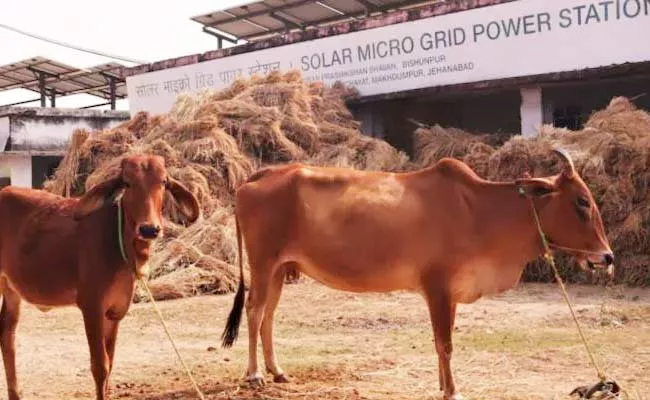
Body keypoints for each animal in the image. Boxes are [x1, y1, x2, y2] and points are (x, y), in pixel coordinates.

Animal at [0, 155, 200, 398]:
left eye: (163, 182)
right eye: (127, 183)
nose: (149, 229)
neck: (121, 246)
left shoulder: (115, 313)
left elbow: (110, 364)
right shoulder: (91, 306)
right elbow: (100, 366)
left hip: (11, 290)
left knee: (7, 335)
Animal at [220, 149, 612, 400]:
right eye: (581, 201)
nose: (606, 258)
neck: (478, 211)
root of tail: (262, 175)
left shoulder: (450, 294)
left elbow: (444, 342)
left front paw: (442, 385)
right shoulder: (437, 286)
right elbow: (445, 343)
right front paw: (452, 391)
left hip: (279, 269)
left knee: (269, 315)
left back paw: (277, 370)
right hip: (262, 263)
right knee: (254, 312)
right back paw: (255, 375)